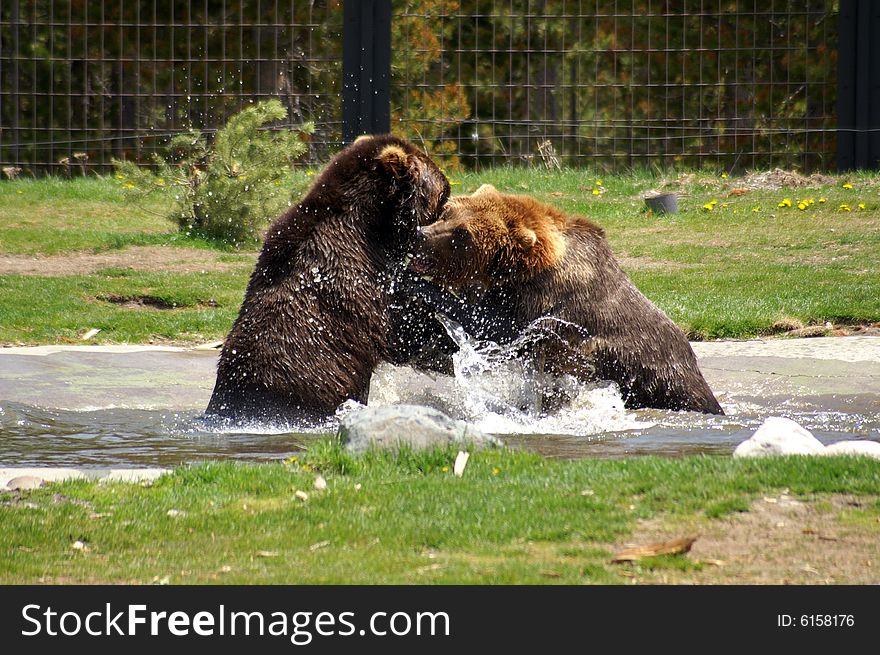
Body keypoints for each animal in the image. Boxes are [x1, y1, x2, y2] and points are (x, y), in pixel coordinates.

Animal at [410, 183, 720, 416]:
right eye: (447, 211)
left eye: (462, 234)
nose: (420, 234)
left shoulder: (549, 302)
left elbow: (496, 327)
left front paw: (414, 282)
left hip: (649, 374)